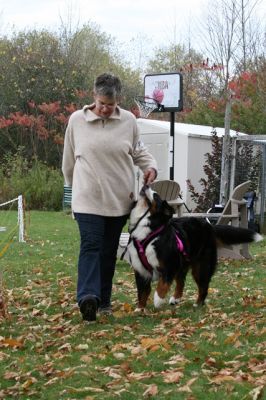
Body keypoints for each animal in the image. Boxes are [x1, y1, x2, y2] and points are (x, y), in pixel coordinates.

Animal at [125, 186, 262, 310]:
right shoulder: (141, 270)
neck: (148, 231)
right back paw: (176, 298)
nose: (146, 185)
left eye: (156, 196)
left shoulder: (170, 265)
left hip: (201, 266)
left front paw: (158, 300)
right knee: (181, 282)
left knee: (203, 286)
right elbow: (142, 292)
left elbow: (162, 285)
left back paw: (198, 303)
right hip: (184, 263)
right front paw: (140, 309)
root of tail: (209, 226)